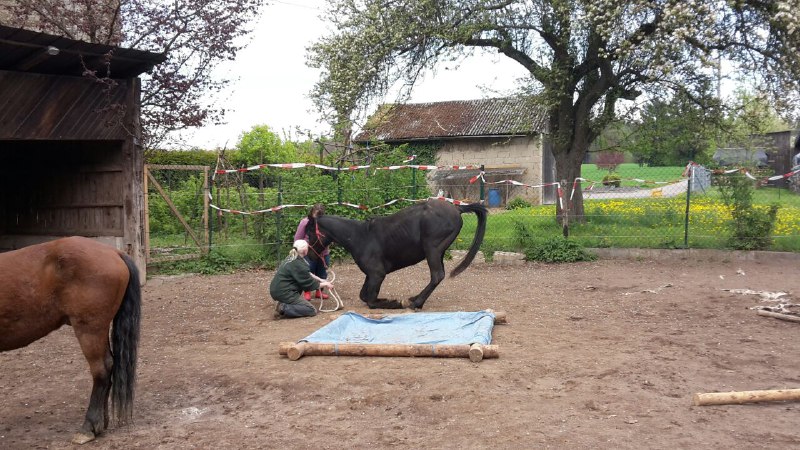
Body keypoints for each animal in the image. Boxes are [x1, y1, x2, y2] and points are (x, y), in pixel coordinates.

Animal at [306, 199, 487, 309]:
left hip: (433, 250)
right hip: (439, 252)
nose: (310, 257)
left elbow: (371, 301)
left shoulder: (377, 274)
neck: (360, 237)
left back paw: (416, 303)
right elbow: (364, 296)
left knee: (437, 275)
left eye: (309, 233)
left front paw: (393, 302)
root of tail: (458, 208)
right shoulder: (371, 275)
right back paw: (415, 299)